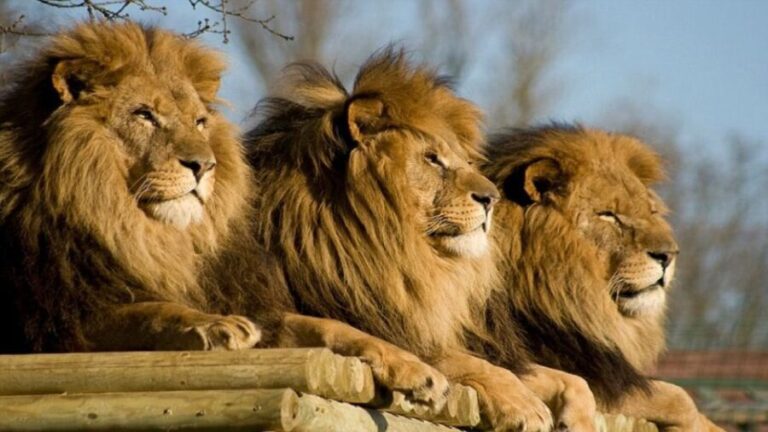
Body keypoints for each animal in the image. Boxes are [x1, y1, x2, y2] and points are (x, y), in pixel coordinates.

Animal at [242, 49, 601, 431]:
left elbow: (573, 380)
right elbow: (456, 360)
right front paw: (522, 404)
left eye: (467, 161)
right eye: (432, 158)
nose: (492, 199)